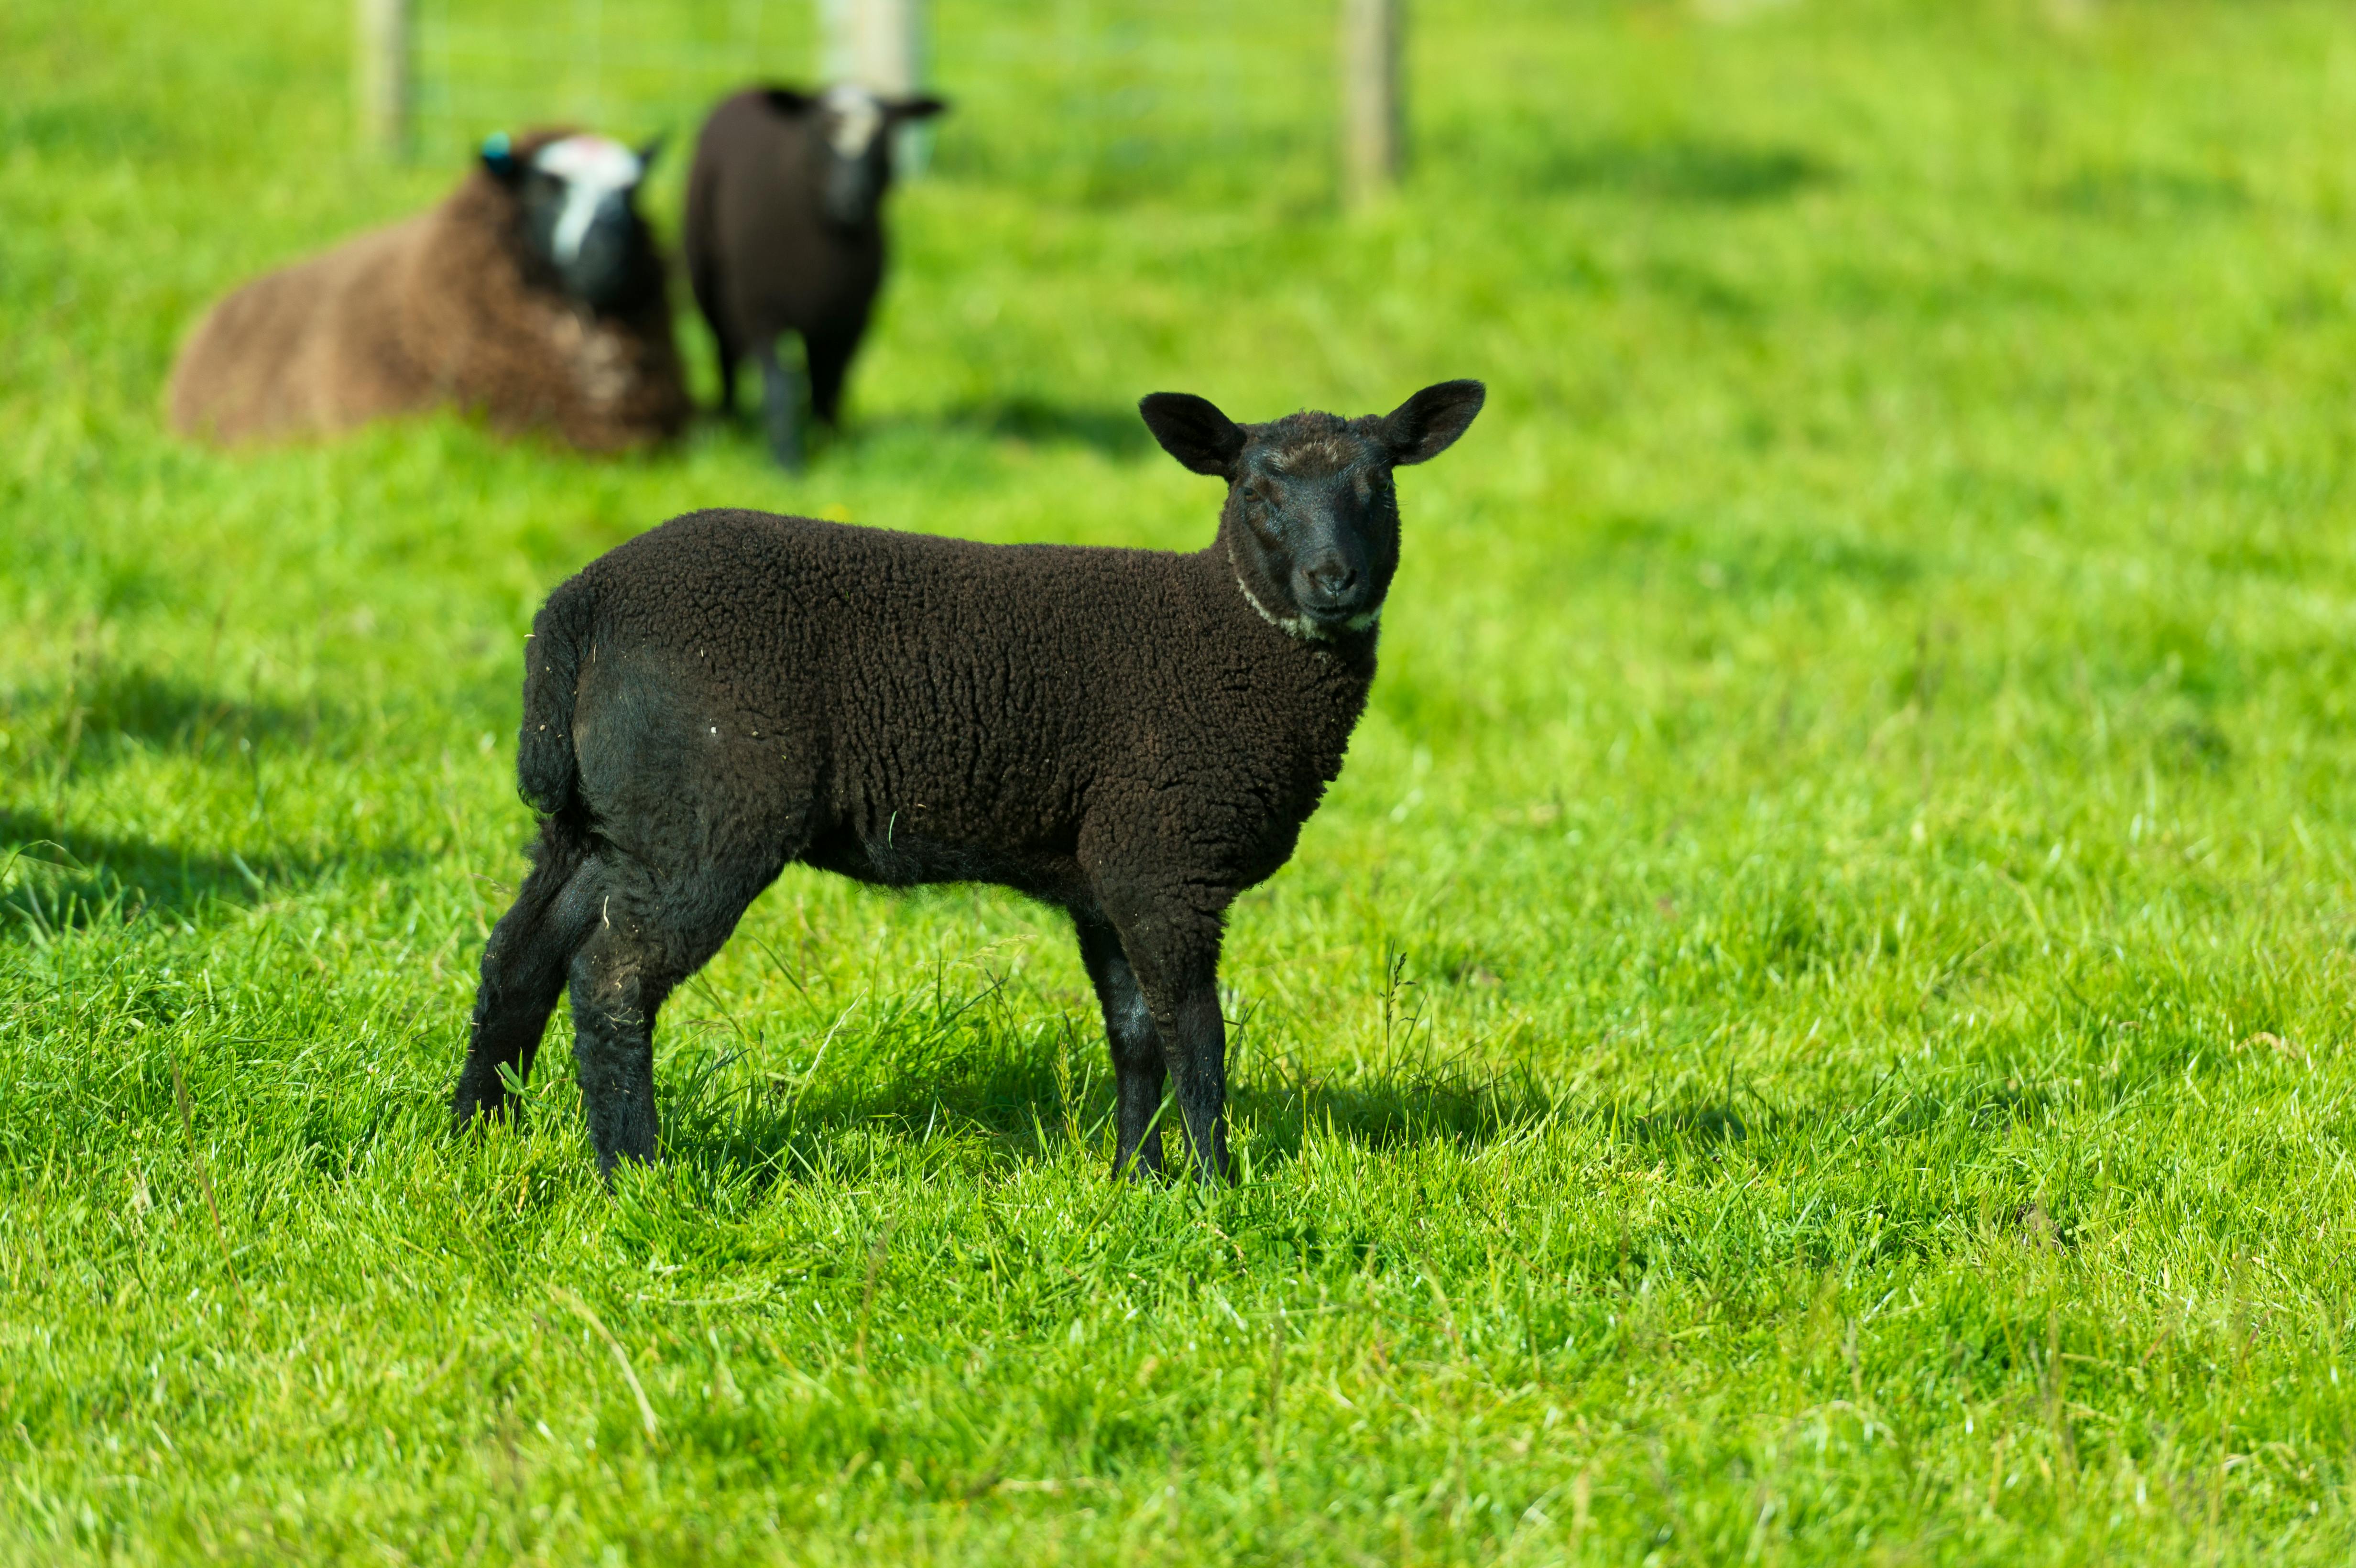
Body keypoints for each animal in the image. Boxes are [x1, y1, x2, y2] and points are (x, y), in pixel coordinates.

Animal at [452, 379, 1486, 1182]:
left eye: (1377, 486)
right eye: (1259, 491)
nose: (1333, 581)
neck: (1227, 635)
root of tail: (579, 606)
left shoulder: (1107, 870)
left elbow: (1134, 1032)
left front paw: (1136, 1178)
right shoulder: (1165, 860)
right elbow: (1196, 1037)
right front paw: (1215, 1187)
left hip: (609, 818)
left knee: (520, 958)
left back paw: (475, 1139)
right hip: (706, 813)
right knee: (611, 976)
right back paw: (635, 1171)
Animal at [684, 84, 948, 467]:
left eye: (883, 137)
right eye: (819, 133)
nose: (851, 200)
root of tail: (747, 89)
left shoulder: (850, 319)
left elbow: (832, 381)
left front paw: (829, 446)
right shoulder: (762, 308)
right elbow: (778, 384)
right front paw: (787, 462)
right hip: (709, 280)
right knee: (726, 354)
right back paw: (727, 422)